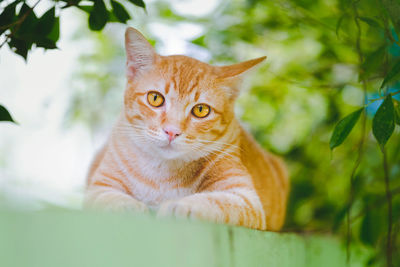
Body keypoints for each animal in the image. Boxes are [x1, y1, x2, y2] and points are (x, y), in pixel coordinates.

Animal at [84, 27, 290, 232]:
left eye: (201, 110)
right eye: (155, 98)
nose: (171, 131)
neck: (162, 175)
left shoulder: (245, 199)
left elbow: (212, 202)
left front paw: (179, 205)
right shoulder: (100, 188)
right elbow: (112, 200)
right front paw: (130, 209)